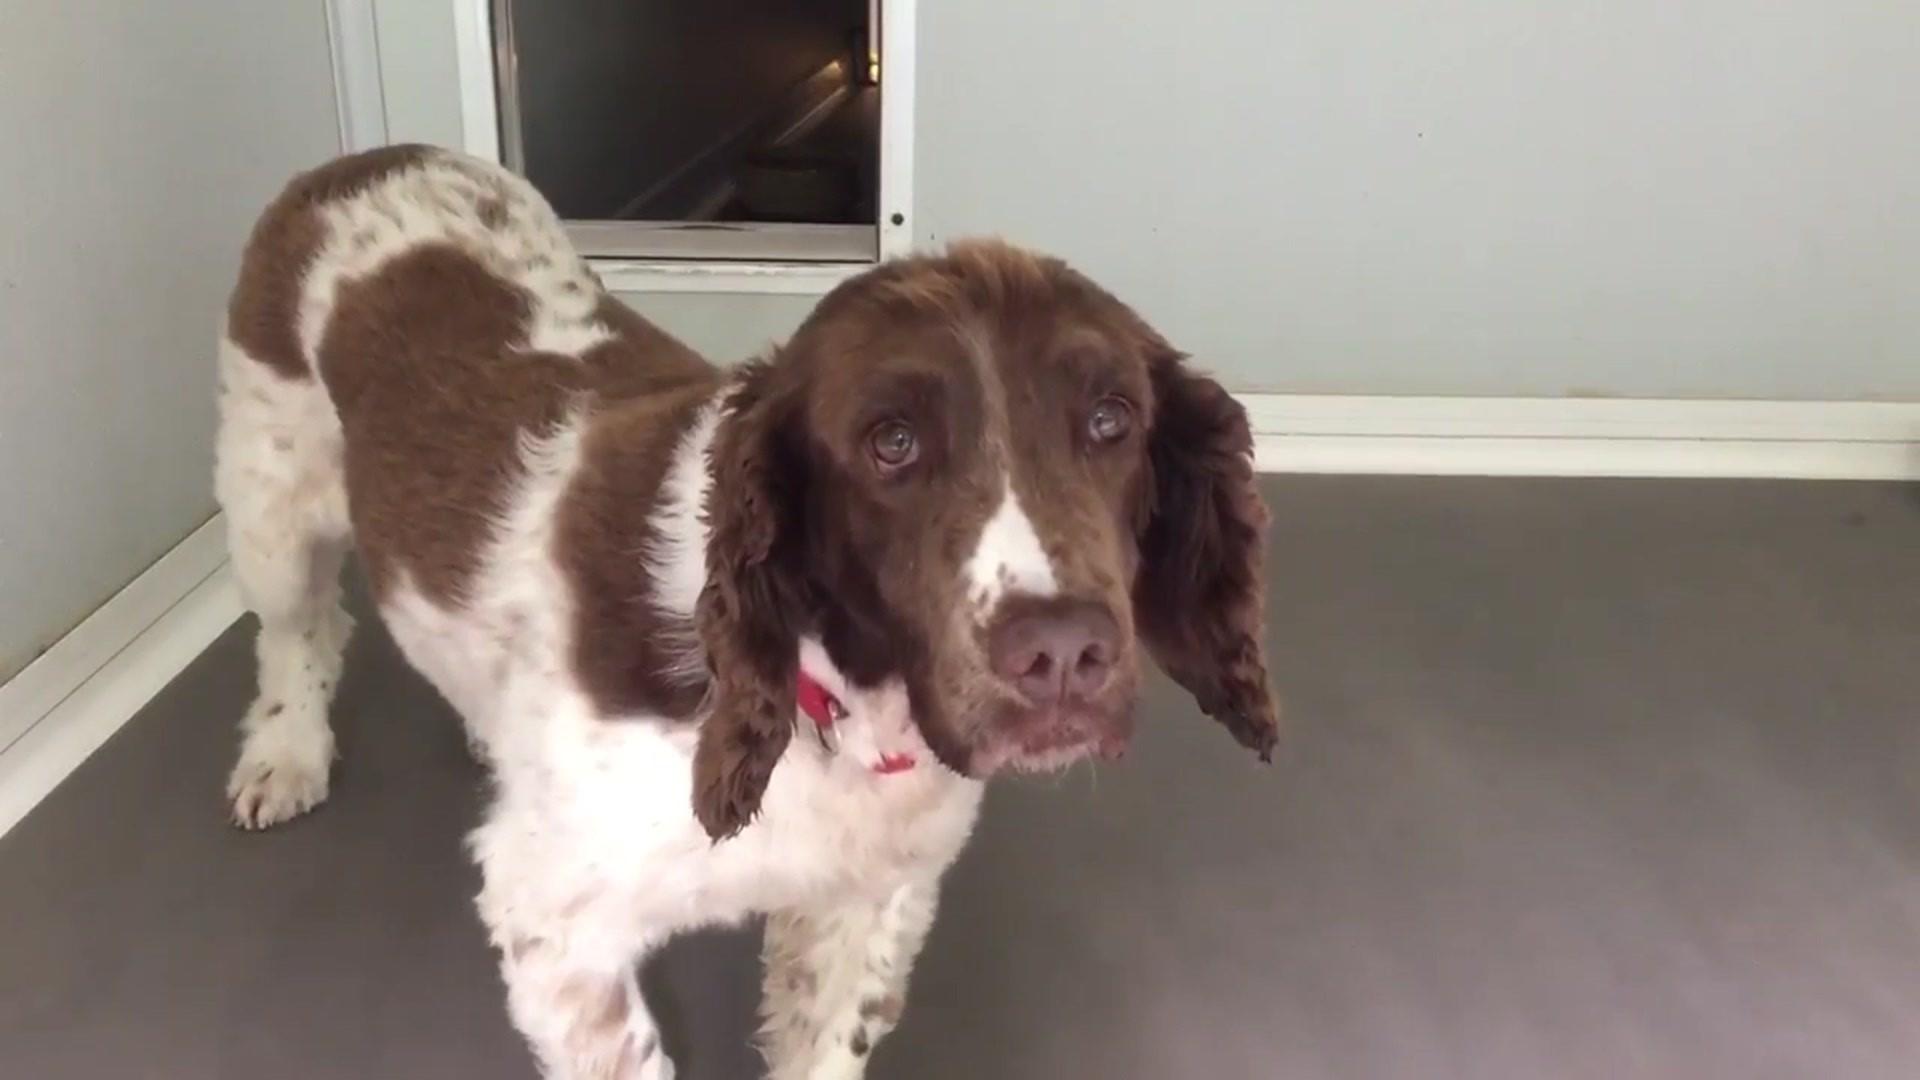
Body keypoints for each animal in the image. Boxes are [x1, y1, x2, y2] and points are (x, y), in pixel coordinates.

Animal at [214, 145, 1274, 1076]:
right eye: (891, 442)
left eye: (1112, 420)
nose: (1060, 653)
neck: (819, 700)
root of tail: (357, 163)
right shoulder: (551, 923)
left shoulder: (867, 903)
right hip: (271, 503)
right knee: (297, 632)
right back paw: (285, 754)